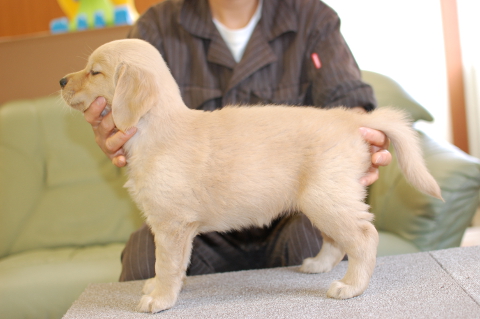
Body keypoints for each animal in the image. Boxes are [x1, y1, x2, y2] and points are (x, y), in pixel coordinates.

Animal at [60, 38, 442, 314]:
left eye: (95, 72)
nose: (61, 80)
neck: (155, 127)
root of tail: (352, 120)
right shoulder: (169, 226)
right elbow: (166, 266)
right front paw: (156, 288)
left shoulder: (172, 226)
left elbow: (166, 265)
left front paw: (160, 299)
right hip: (321, 200)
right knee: (337, 241)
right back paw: (317, 265)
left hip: (327, 198)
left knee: (364, 237)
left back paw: (350, 286)